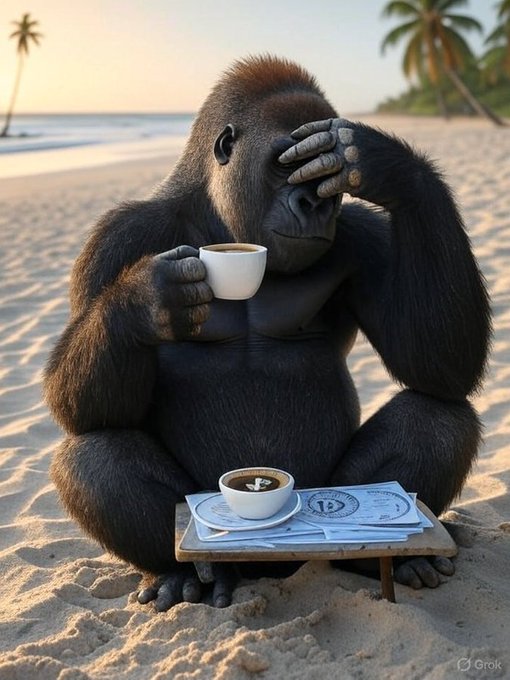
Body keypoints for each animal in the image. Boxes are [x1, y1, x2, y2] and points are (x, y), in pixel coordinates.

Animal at [44, 55, 491, 612]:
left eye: (324, 178)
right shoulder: (114, 237)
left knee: (439, 414)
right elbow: (86, 410)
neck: (218, 222)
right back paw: (182, 572)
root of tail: (269, 563)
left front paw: (387, 165)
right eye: (284, 165)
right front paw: (143, 301)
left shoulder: (366, 235)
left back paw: (385, 559)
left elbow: (437, 365)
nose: (312, 204)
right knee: (93, 452)